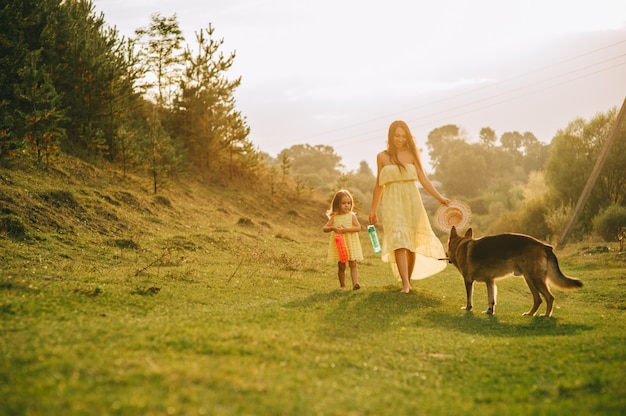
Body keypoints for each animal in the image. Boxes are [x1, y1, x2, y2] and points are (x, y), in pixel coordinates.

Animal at [444, 226, 580, 316]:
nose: (446, 256)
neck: (460, 245)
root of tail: (545, 246)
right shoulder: (490, 282)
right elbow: (491, 299)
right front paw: (489, 312)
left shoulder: (468, 281)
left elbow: (469, 298)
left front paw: (468, 308)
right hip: (529, 280)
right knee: (538, 299)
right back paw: (530, 314)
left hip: (535, 280)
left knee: (549, 298)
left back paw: (546, 316)